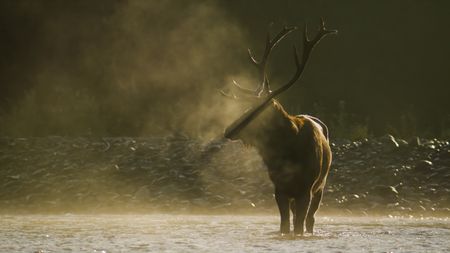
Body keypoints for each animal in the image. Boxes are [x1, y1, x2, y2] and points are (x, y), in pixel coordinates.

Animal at [223, 19, 336, 235]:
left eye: (255, 112)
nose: (228, 131)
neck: (287, 151)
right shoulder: (279, 188)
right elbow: (284, 225)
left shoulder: (306, 189)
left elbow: (299, 225)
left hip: (321, 186)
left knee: (311, 219)